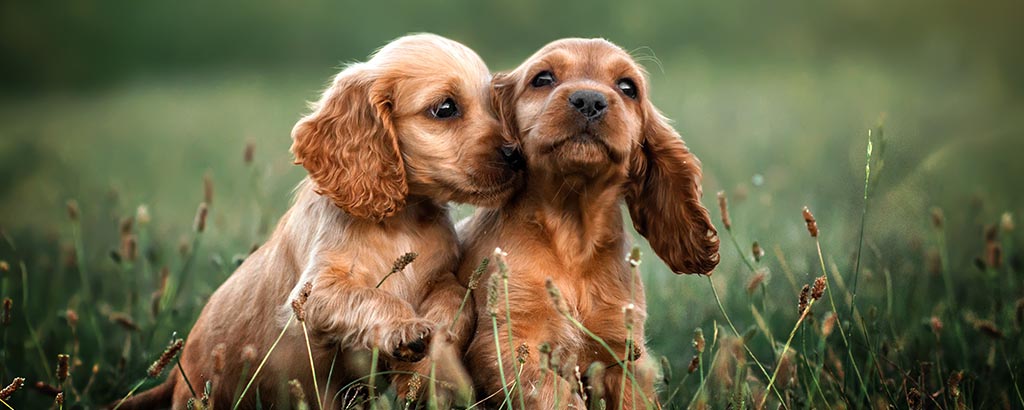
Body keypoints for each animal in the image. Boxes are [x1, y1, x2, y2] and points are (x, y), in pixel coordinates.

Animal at [117, 33, 520, 407]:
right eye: (445, 108)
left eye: (494, 105)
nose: (515, 155)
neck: (401, 221)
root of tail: (175, 377)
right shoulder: (315, 293)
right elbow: (372, 297)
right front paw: (406, 328)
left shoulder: (441, 273)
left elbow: (457, 296)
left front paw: (422, 363)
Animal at [458, 37, 720, 405]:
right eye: (542, 78)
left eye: (628, 87)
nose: (590, 100)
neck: (572, 234)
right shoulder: (510, 341)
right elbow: (556, 396)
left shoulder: (623, 354)